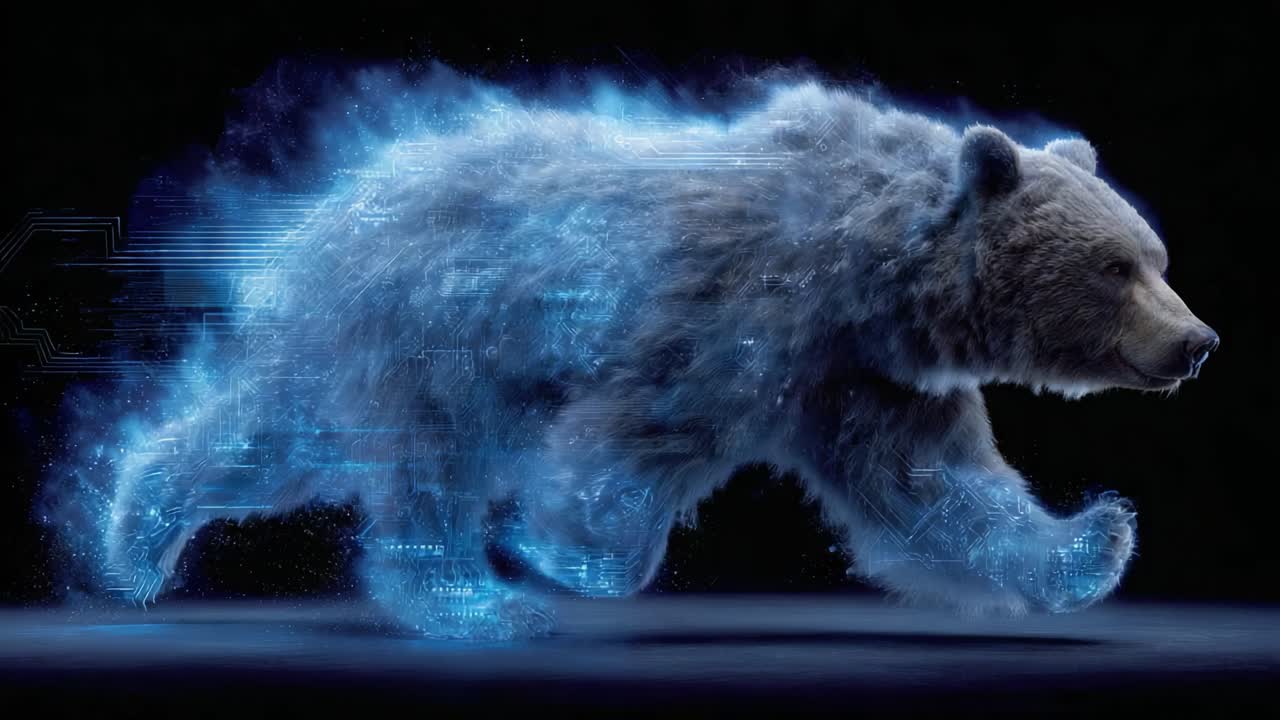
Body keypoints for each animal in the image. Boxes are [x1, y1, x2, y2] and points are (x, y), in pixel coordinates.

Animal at [99, 80, 1217, 639]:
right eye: (1117, 266)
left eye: (1157, 258)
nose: (1197, 342)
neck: (870, 267)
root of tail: (320, 220)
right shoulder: (735, 320)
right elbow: (636, 438)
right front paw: (567, 551)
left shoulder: (862, 379)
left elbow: (937, 485)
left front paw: (1091, 541)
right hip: (431, 342)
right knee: (418, 476)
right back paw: (477, 600)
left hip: (354, 357)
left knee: (260, 436)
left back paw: (134, 534)